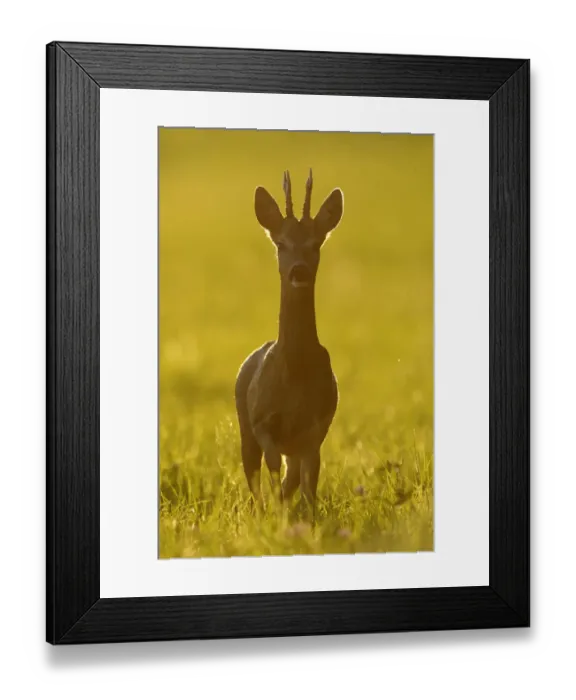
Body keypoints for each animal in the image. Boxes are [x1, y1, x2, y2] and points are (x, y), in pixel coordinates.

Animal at [234, 169, 344, 519]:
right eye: (280, 243)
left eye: (315, 243)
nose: (299, 270)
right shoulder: (262, 420)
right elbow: (272, 469)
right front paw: (276, 515)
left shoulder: (317, 428)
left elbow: (307, 481)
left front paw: (304, 517)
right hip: (244, 423)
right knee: (252, 472)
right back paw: (261, 511)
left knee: (292, 474)